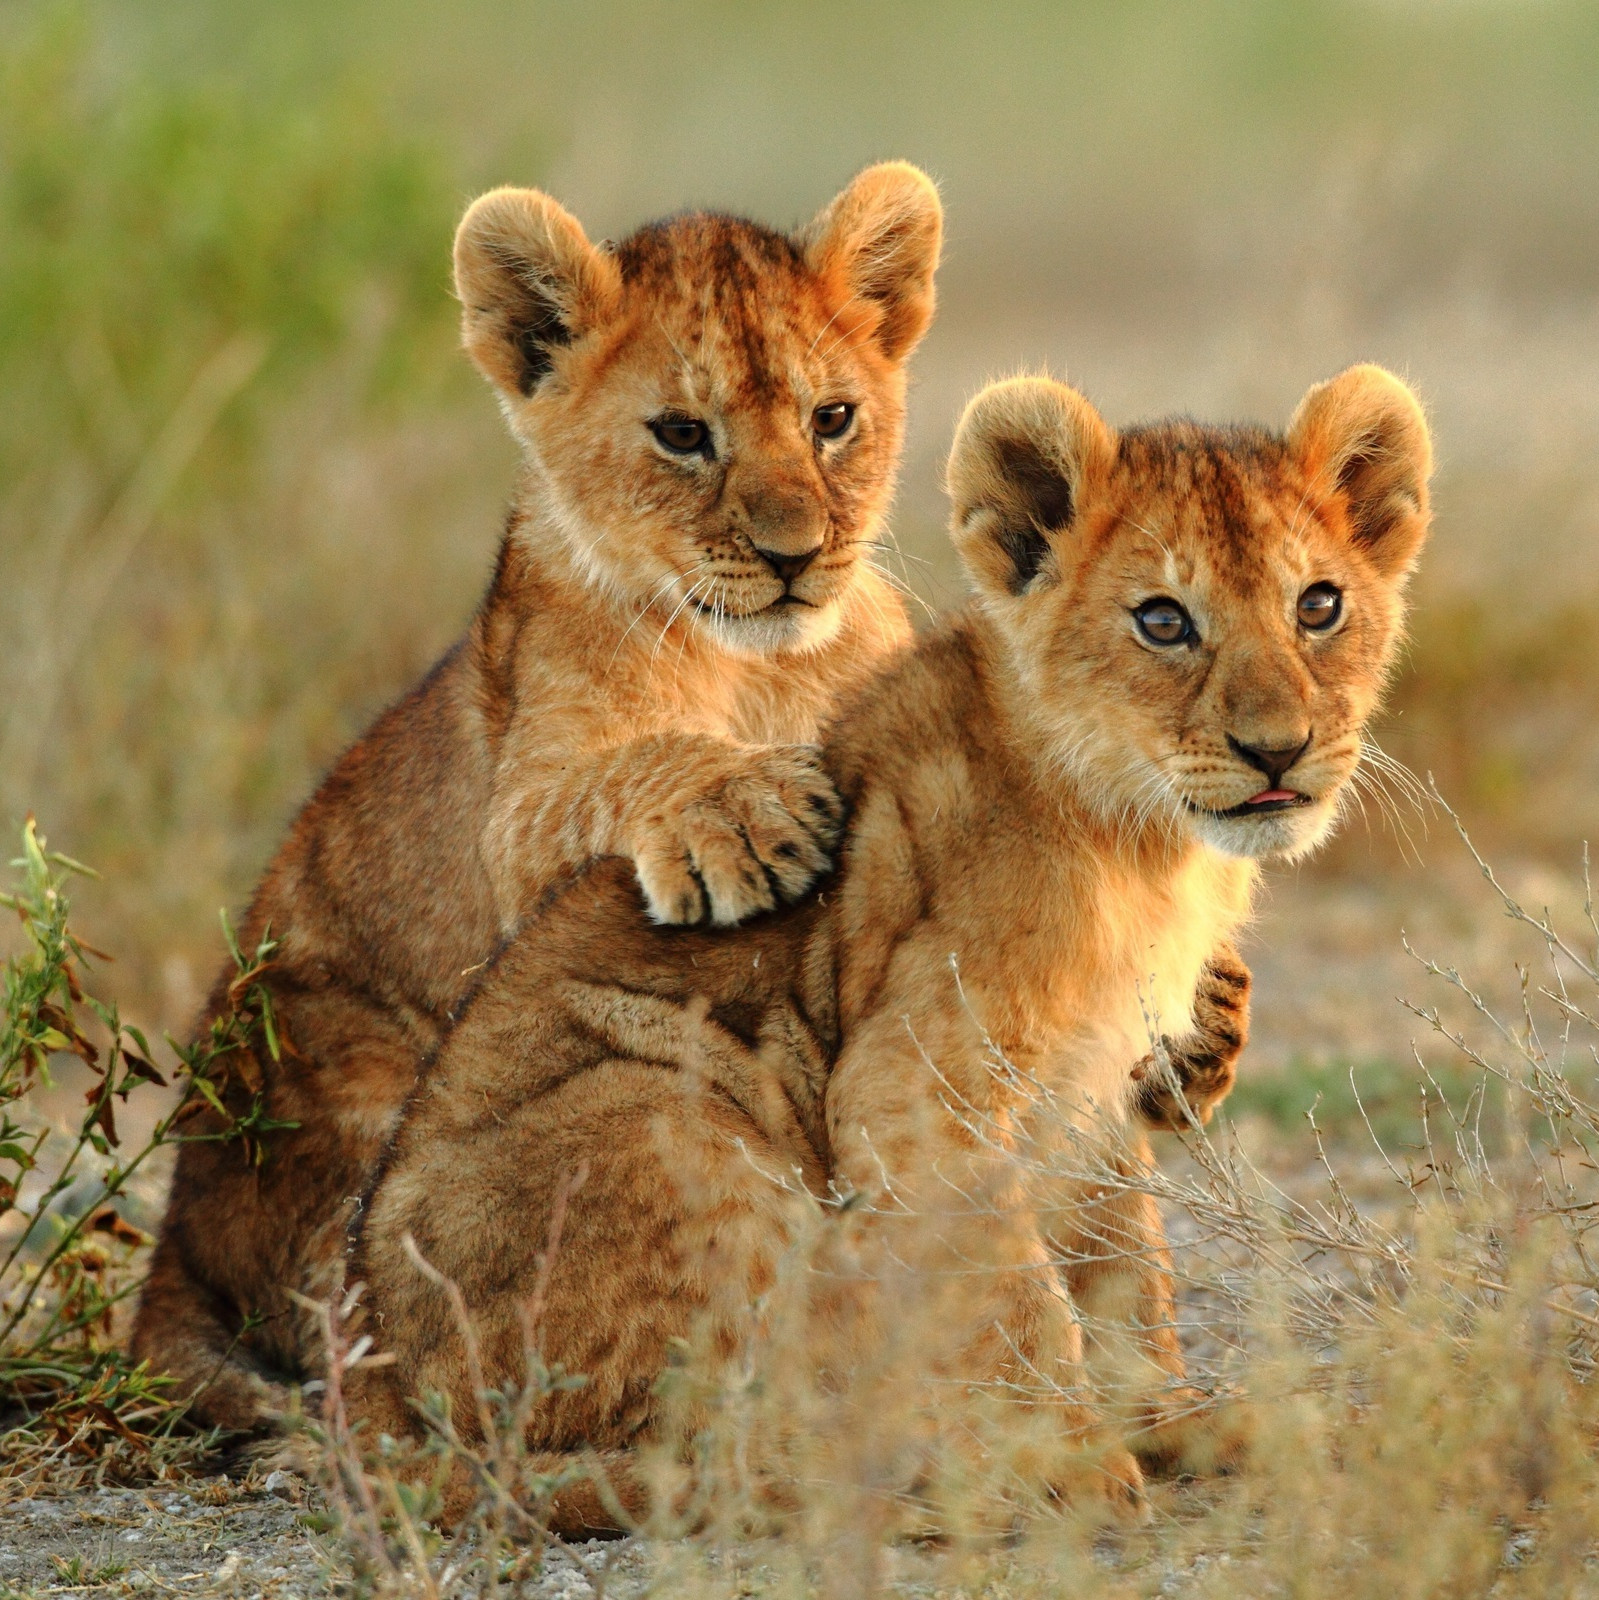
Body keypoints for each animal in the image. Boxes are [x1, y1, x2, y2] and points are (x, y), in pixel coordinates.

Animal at [130, 163, 947, 1428]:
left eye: (833, 419)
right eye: (682, 435)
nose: (797, 555)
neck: (763, 668)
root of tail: (171, 1243)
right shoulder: (522, 806)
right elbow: (625, 770)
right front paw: (744, 812)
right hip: (341, 1077)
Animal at [342, 361, 1431, 1533]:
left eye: (1318, 606)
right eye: (1162, 620)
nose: (1279, 750)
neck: (1148, 848)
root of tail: (370, 1391)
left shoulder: (1091, 1087)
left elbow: (1122, 1266)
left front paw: (1171, 1418)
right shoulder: (915, 1080)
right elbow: (1011, 1290)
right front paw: (1067, 1456)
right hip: (667, 1111)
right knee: (696, 1440)